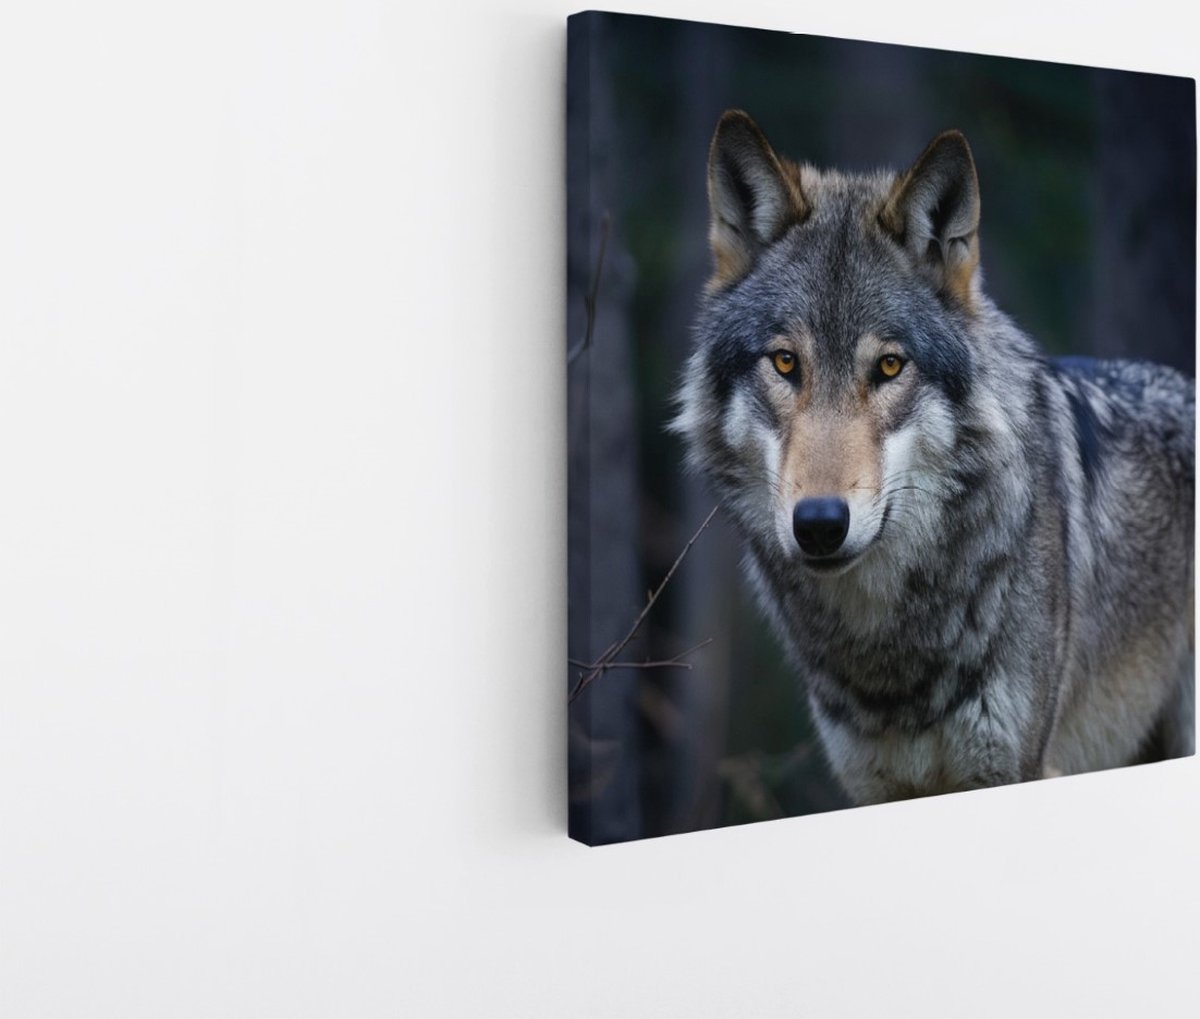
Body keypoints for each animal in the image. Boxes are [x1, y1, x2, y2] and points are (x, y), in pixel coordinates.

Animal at [672, 110, 1195, 805]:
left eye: (890, 367)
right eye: (785, 363)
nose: (819, 524)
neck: (888, 654)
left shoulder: (1009, 768)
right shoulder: (872, 785)